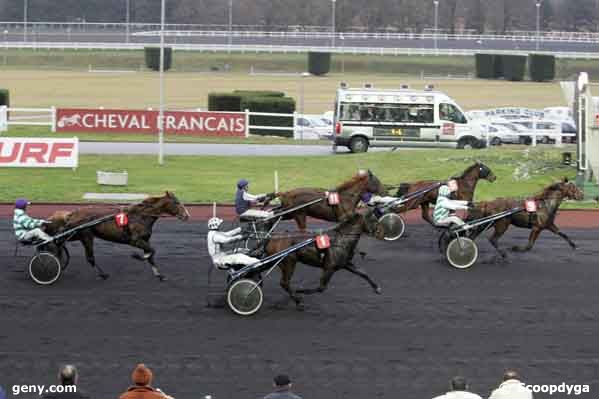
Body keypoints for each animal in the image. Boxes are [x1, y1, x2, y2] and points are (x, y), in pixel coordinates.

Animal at [45, 193, 189, 282]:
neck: (141, 216)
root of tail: (73, 213)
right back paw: (102, 274)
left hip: (77, 235)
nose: (187, 215)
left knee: (60, 242)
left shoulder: (145, 240)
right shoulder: (135, 240)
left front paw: (160, 275)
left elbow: (151, 255)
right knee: (88, 257)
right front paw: (136, 256)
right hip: (86, 236)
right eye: (176, 202)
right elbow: (151, 251)